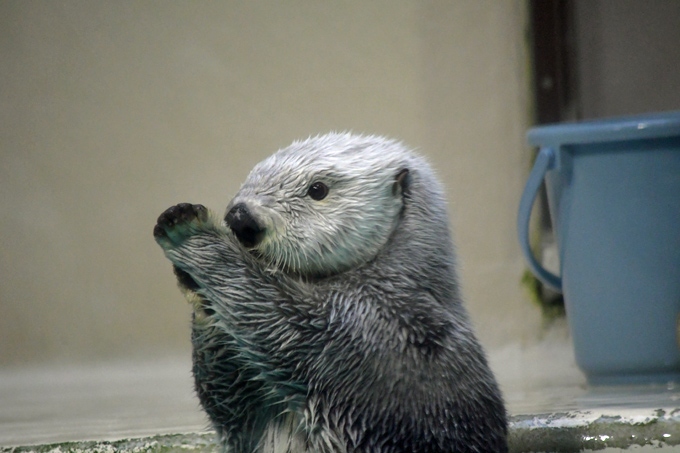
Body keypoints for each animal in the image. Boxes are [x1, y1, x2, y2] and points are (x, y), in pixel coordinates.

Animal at [153, 133, 504, 452]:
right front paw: (193, 286)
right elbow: (230, 404)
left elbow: (277, 317)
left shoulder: (368, 330)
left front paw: (190, 231)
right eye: (252, 177)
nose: (241, 218)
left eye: (317, 189)